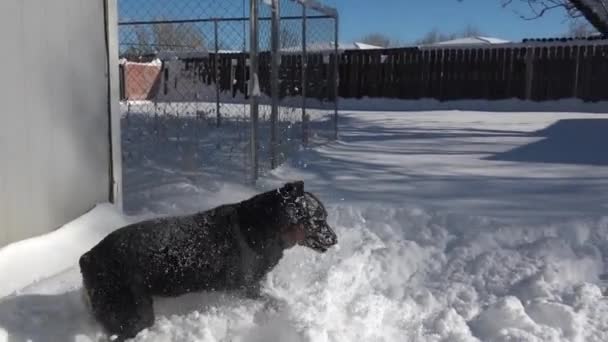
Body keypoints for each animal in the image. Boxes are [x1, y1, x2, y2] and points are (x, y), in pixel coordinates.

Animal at [78, 180, 338, 340]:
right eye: (318, 220)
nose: (335, 239)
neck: (268, 226)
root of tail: (88, 257)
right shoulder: (245, 287)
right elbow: (275, 301)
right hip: (134, 314)